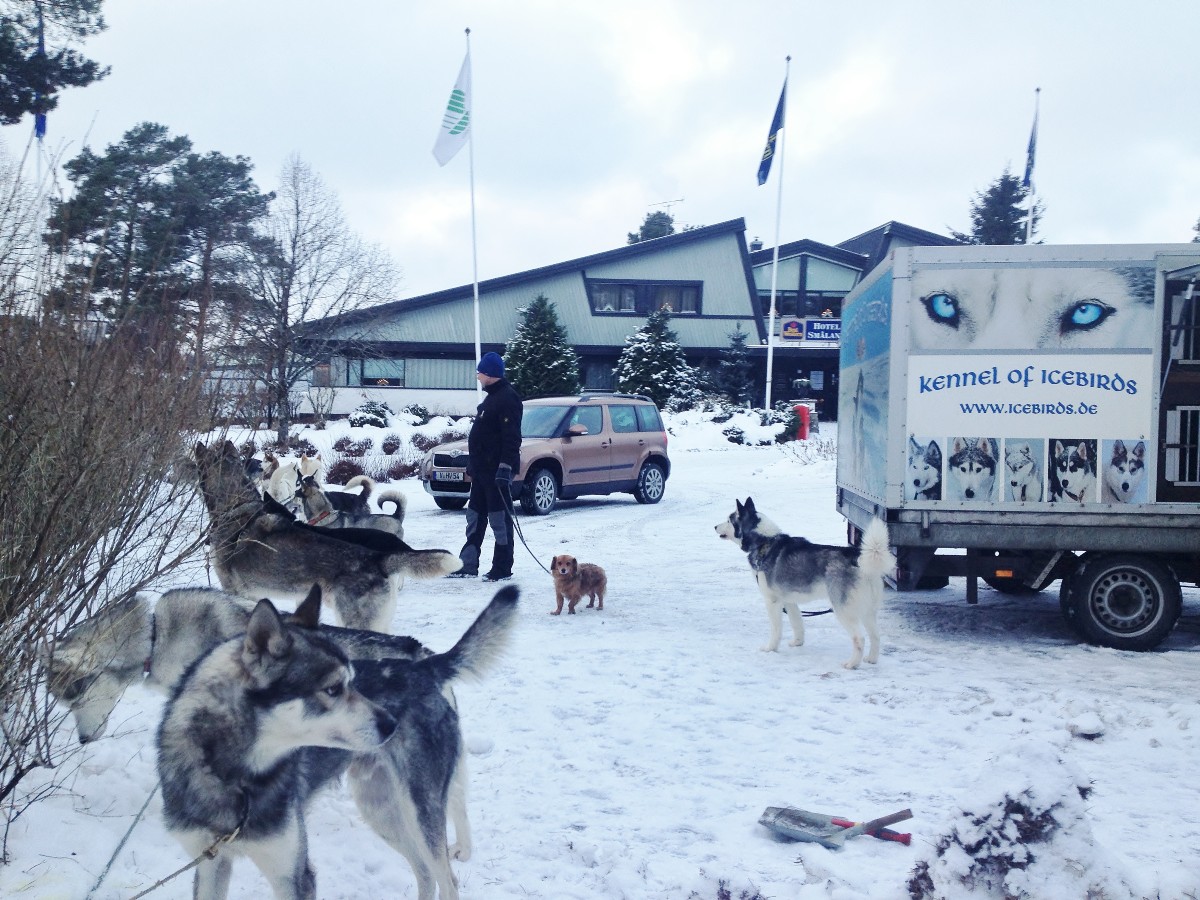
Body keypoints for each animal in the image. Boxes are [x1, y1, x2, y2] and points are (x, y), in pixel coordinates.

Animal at [157, 586, 518, 900]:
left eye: (353, 681)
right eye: (333, 689)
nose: (391, 723)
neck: (234, 780)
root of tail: (424, 666)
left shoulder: (293, 874)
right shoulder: (210, 864)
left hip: (420, 810)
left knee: (447, 879)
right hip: (380, 809)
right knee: (426, 874)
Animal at [715, 498, 895, 669]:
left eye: (729, 520)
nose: (715, 526)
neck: (764, 541)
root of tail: (856, 557)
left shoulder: (772, 602)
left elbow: (776, 630)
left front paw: (770, 648)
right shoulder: (789, 601)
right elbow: (797, 624)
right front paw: (798, 643)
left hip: (844, 610)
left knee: (859, 638)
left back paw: (852, 664)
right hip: (867, 610)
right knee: (875, 635)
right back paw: (871, 659)